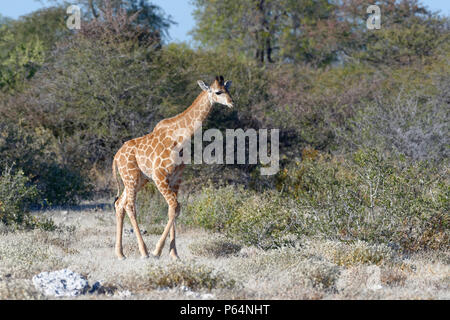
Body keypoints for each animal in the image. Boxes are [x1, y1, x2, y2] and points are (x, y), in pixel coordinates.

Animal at [112, 75, 234, 260]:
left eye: (228, 90)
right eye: (218, 92)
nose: (232, 103)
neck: (181, 137)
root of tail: (116, 156)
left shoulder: (176, 178)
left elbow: (174, 209)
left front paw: (174, 254)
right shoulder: (159, 176)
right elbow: (175, 206)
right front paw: (157, 251)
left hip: (139, 179)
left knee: (120, 203)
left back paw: (120, 253)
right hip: (131, 177)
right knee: (130, 206)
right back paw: (144, 252)